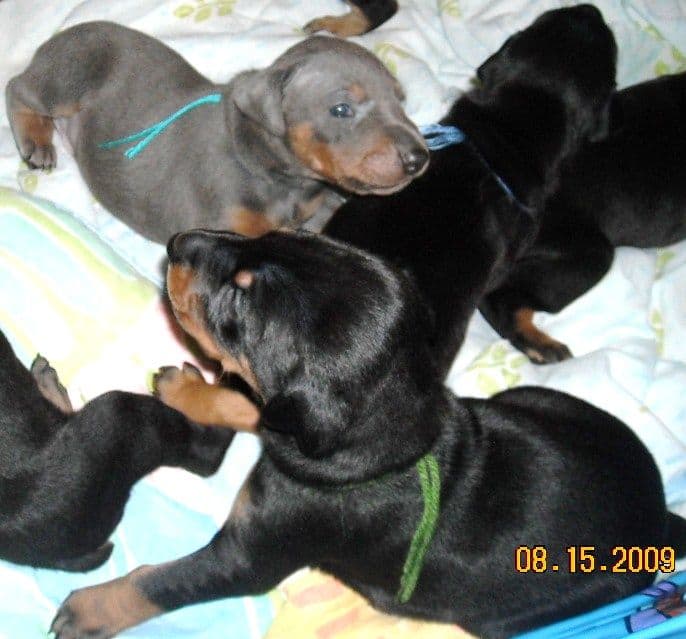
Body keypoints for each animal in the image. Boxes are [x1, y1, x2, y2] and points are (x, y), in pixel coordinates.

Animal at [52, 231, 686, 639]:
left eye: (239, 294)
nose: (177, 243)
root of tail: (660, 517)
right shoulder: (284, 422)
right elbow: (250, 403)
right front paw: (189, 388)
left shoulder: (254, 554)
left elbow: (165, 582)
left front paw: (89, 611)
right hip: (538, 401)